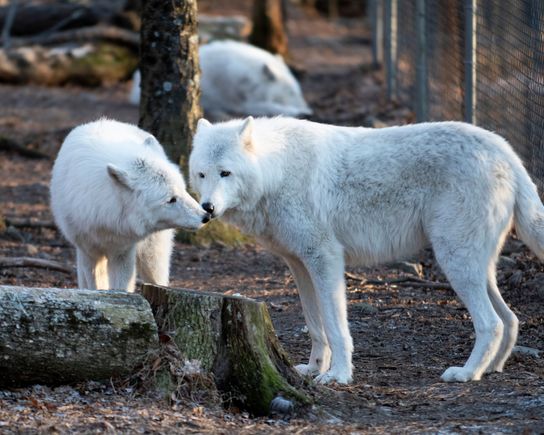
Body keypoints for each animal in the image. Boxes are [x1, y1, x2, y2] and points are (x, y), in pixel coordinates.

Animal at [51, 119, 209, 292]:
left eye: (183, 190)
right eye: (171, 199)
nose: (205, 216)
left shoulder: (123, 252)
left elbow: (122, 287)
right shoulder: (90, 252)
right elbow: (96, 286)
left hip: (152, 256)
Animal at [129, 40, 312, 119]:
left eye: (299, 91)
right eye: (291, 92)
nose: (308, 109)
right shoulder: (249, 103)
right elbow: (273, 108)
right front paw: (299, 112)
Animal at [188, 115, 544, 384]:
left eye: (226, 173)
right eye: (202, 174)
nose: (207, 208)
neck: (275, 170)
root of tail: (507, 152)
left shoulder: (326, 259)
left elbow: (336, 327)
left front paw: (338, 376)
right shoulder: (299, 265)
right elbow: (316, 326)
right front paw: (313, 369)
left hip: (455, 260)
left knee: (491, 323)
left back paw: (467, 374)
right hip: (476, 266)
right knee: (510, 319)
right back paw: (492, 368)